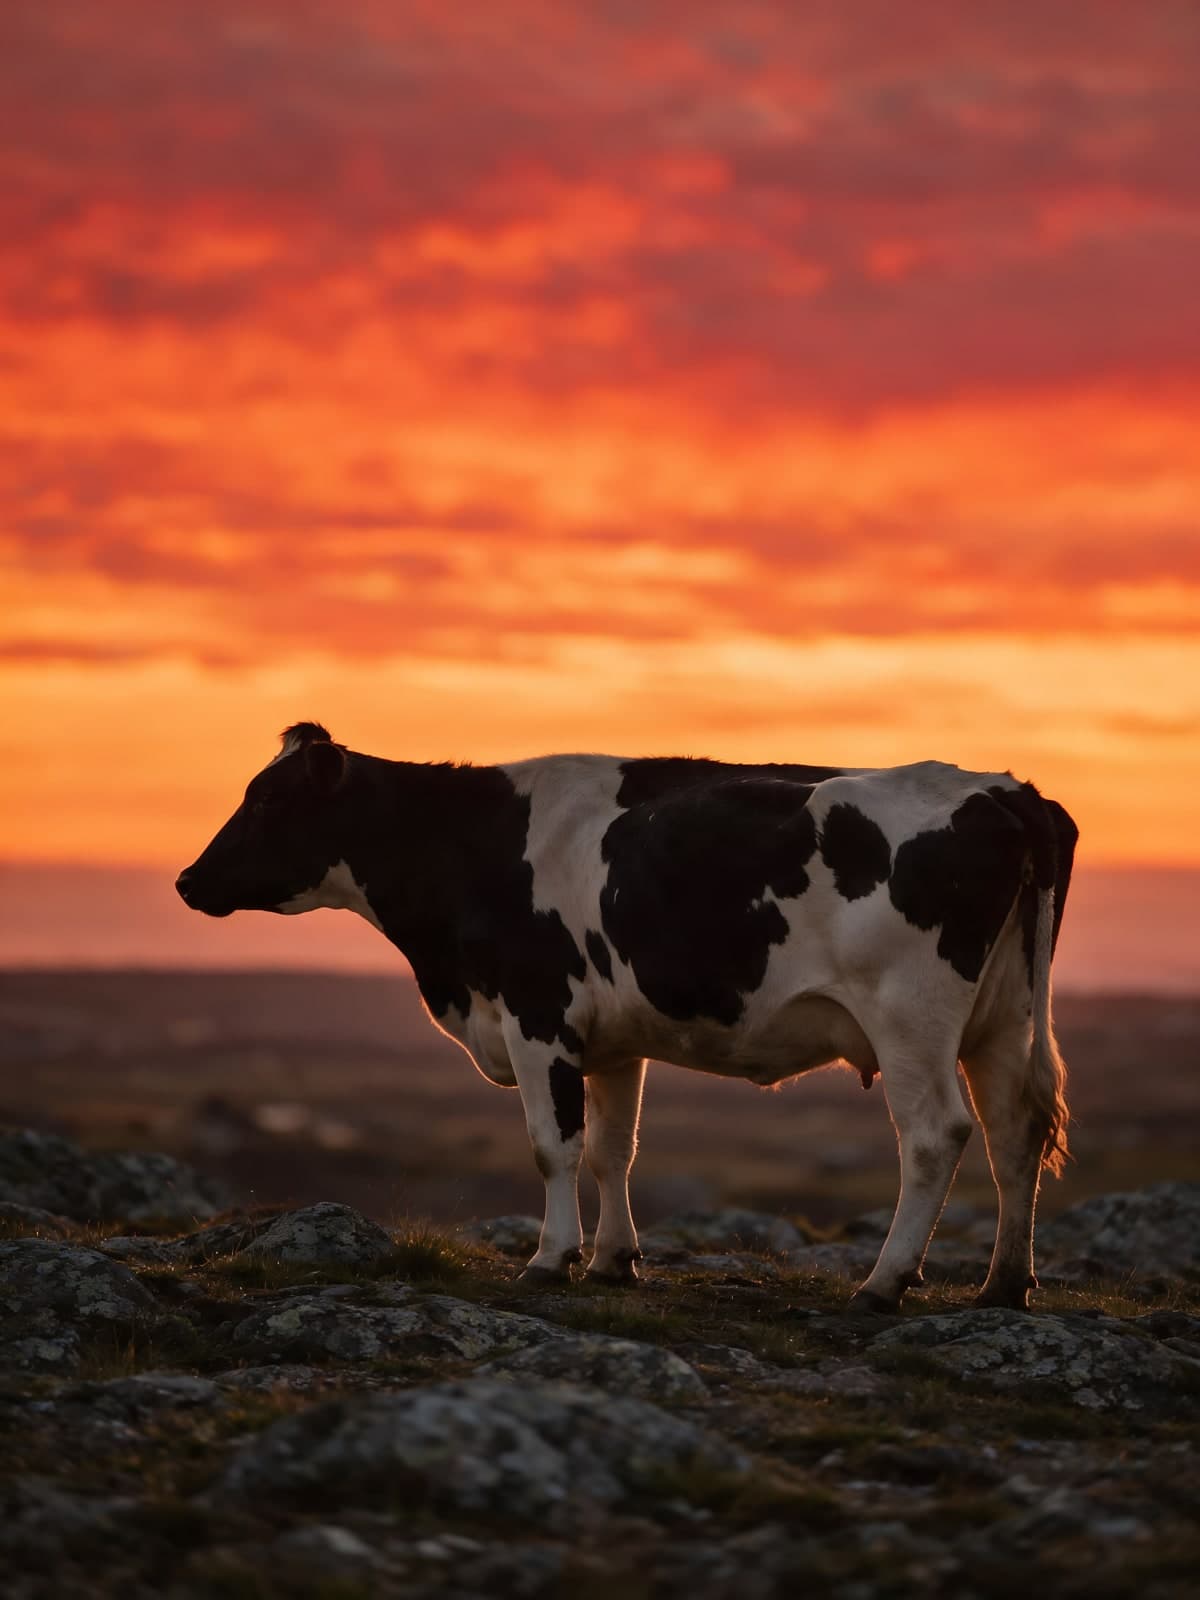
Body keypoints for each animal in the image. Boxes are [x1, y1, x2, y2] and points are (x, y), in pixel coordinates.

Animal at [176, 722, 1077, 1311]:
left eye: (269, 800)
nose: (187, 881)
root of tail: (1005, 790)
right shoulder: (609, 1041)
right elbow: (615, 1150)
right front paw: (614, 1261)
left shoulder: (537, 1014)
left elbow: (554, 1146)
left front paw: (549, 1259)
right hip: (1004, 1017)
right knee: (1015, 1131)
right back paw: (1003, 1285)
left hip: (910, 1014)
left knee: (935, 1135)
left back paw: (884, 1282)